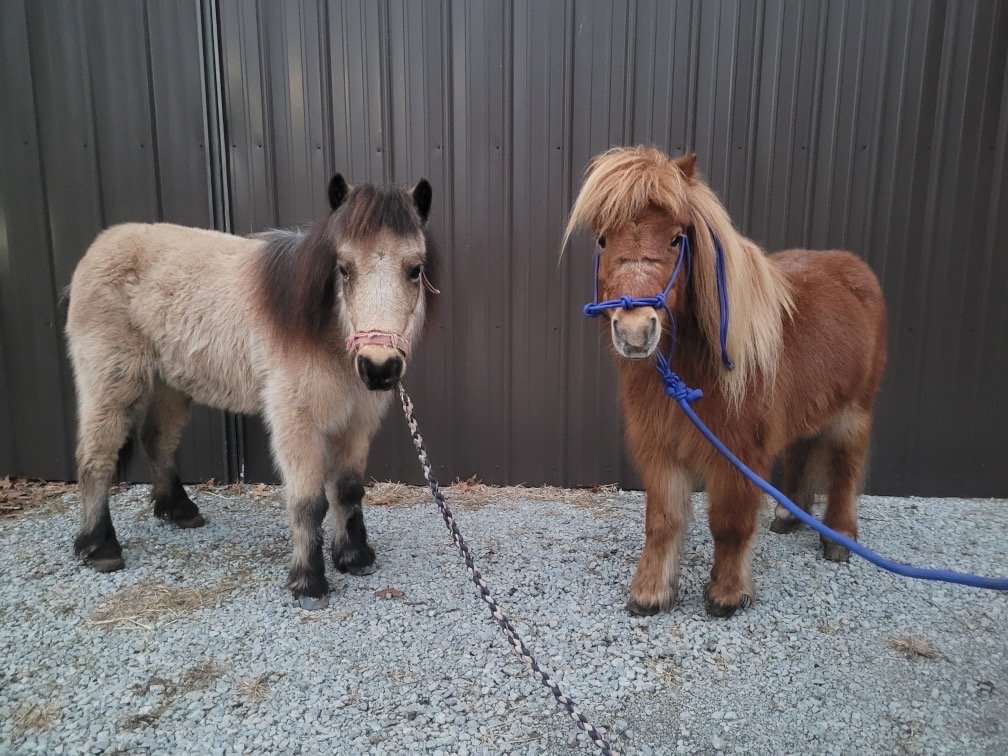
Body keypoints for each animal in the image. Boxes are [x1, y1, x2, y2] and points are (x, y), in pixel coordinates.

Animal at [65, 174, 438, 609]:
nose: (379, 368)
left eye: (415, 269)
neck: (323, 332)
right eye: (344, 269)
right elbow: (309, 502)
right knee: (96, 458)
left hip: (170, 385)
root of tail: (98, 248)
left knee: (156, 440)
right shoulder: (296, 423)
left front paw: (355, 557)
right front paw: (309, 582)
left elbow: (347, 491)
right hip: (111, 383)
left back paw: (180, 510)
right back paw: (99, 547)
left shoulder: (356, 421)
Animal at [563, 146, 887, 618]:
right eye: (603, 240)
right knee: (802, 452)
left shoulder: (737, 451)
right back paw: (789, 517)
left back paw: (839, 539)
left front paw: (728, 594)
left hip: (853, 413)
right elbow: (663, 521)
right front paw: (651, 592)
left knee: (846, 468)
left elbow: (730, 522)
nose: (636, 332)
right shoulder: (660, 447)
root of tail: (855, 269)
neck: (694, 367)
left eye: (676, 239)